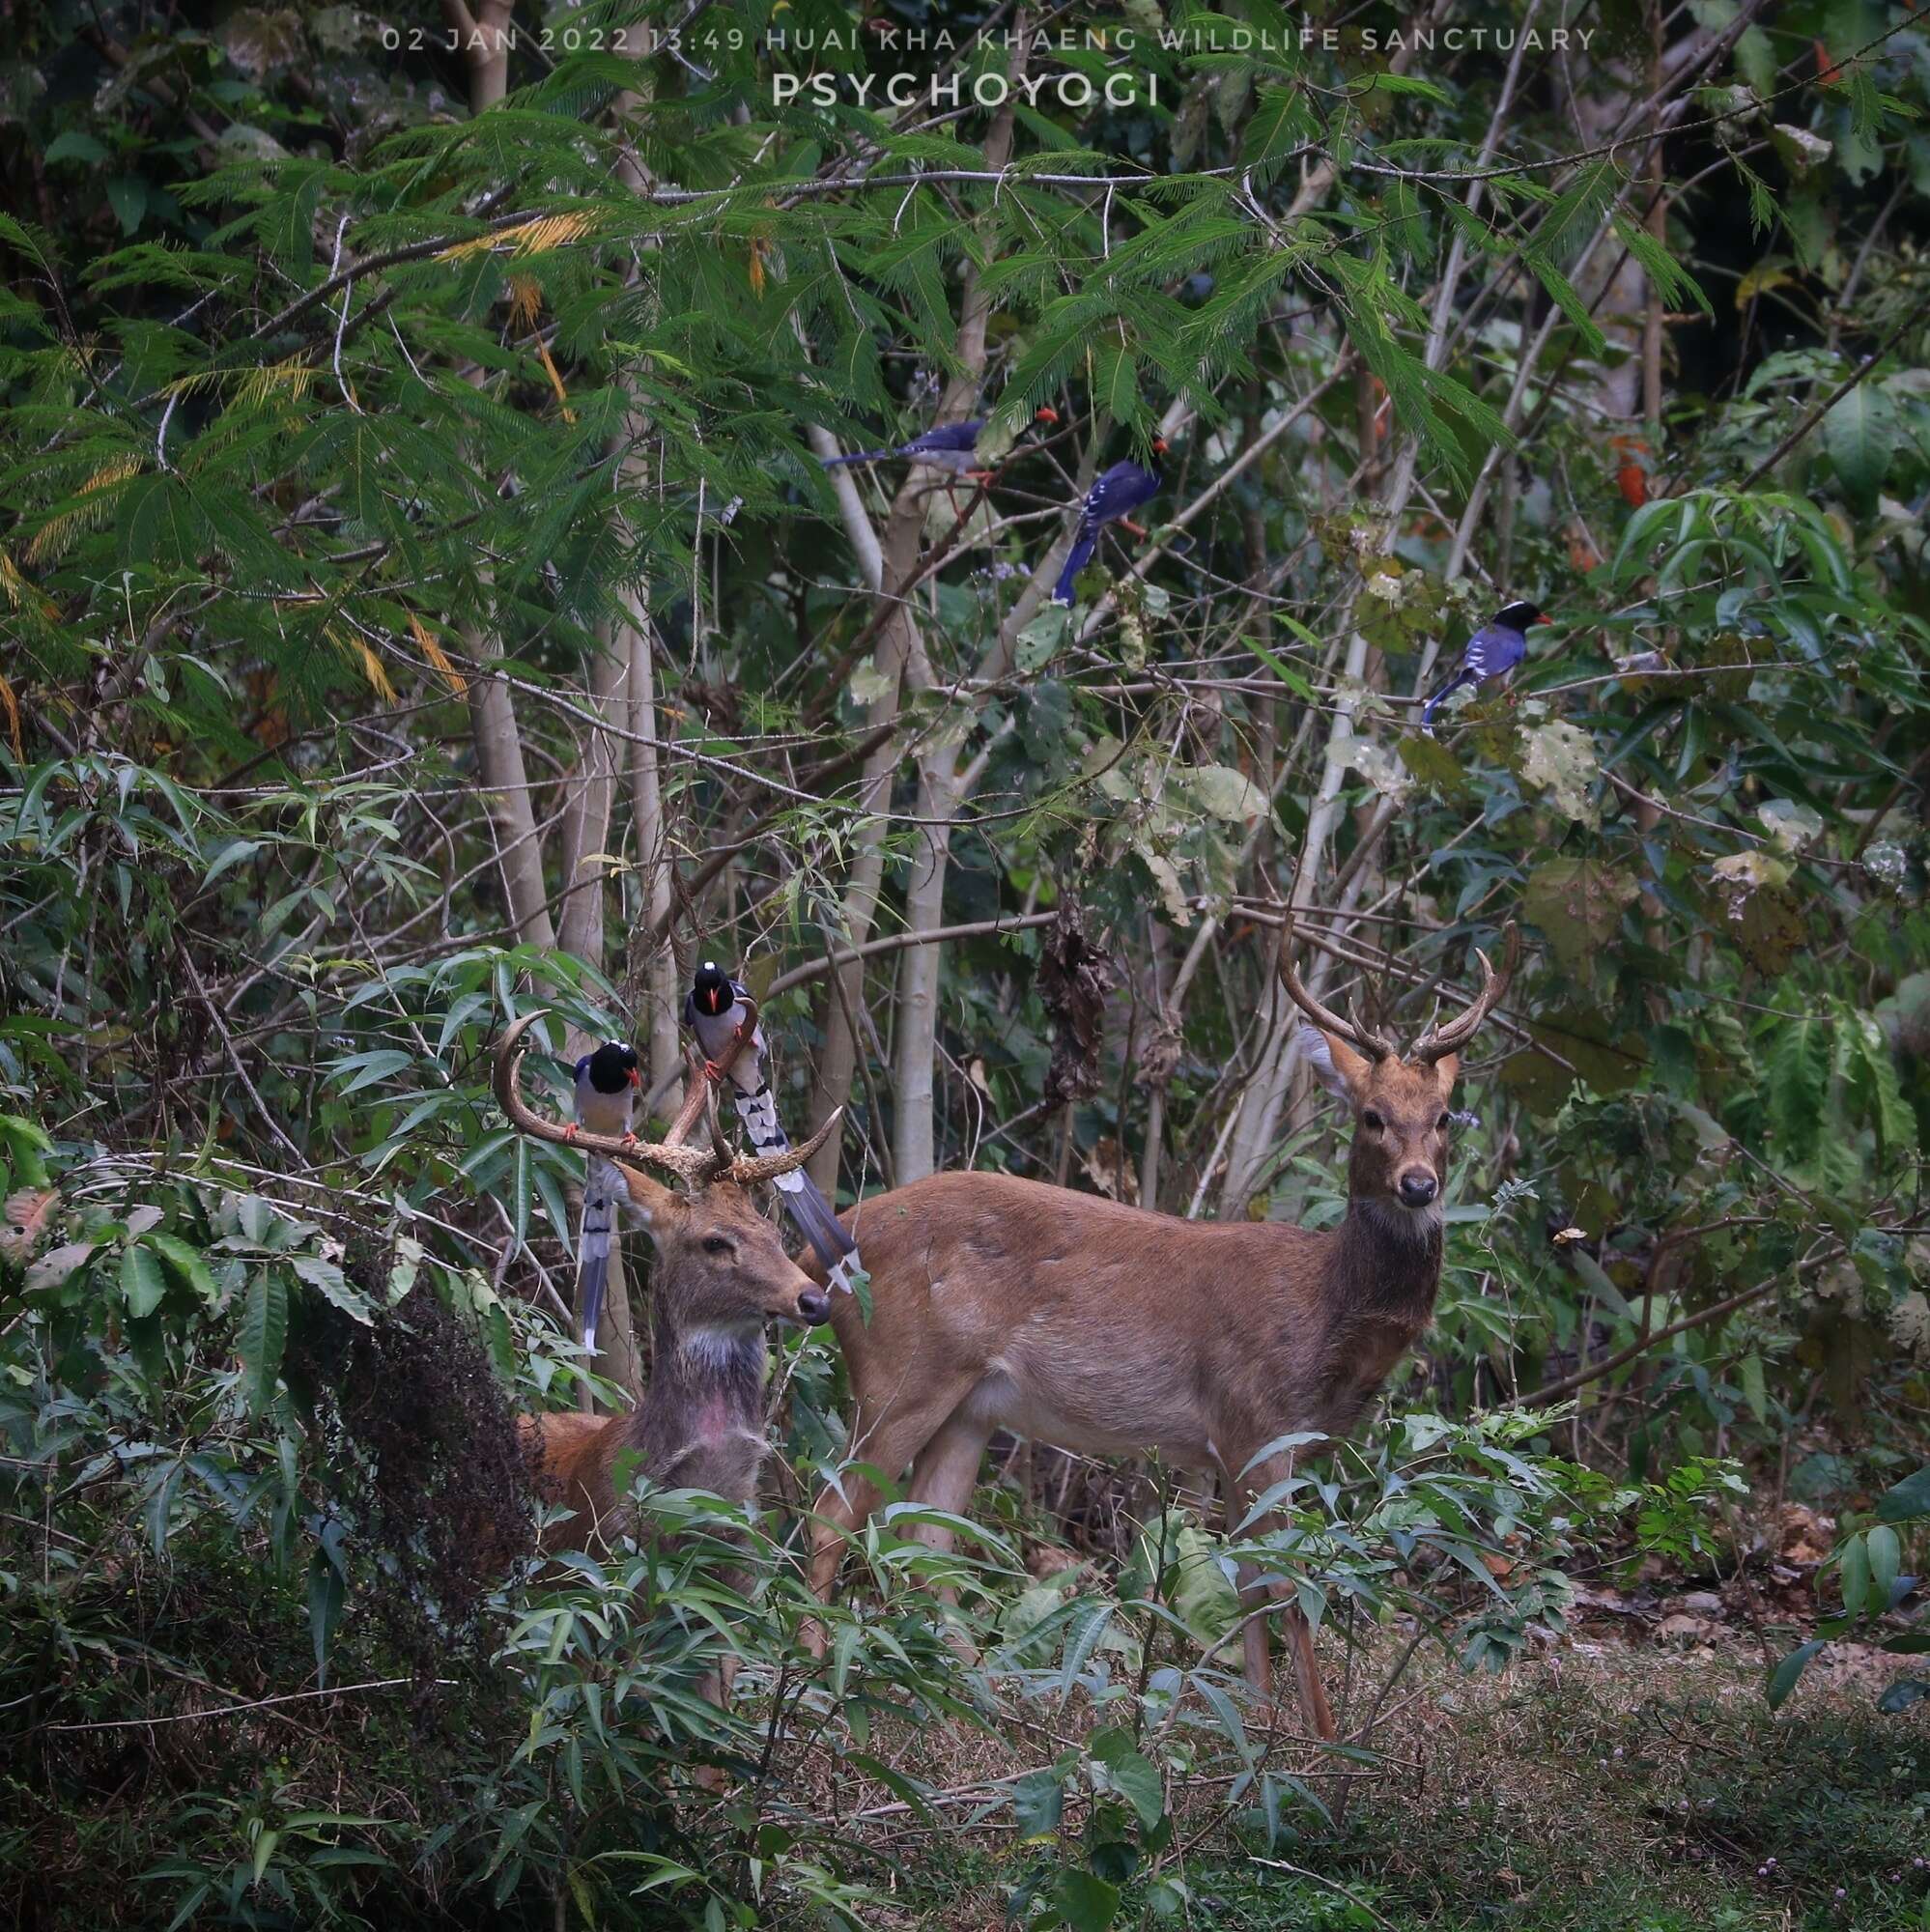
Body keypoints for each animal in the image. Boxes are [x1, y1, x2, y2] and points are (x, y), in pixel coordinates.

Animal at [800, 920, 1507, 1739]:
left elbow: (1248, 1584)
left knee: (928, 1542)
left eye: (1444, 1117)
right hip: (901, 1370)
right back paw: (806, 1679)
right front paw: (1320, 1742)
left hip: (970, 1404)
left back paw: (985, 1701)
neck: (1325, 1314)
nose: (1419, 1184)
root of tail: (827, 1244)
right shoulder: (1253, 1422)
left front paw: (1256, 1723)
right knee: (834, 1515)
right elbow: (1286, 1584)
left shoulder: (1234, 1450)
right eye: (1372, 1116)